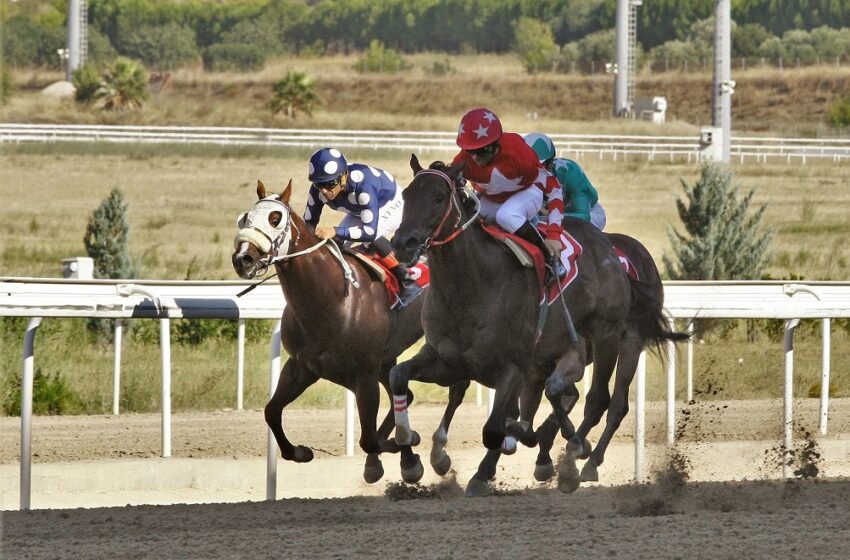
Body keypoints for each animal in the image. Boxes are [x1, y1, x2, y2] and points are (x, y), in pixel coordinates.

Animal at [230, 182, 424, 484]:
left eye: (275, 218)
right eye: (245, 218)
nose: (243, 259)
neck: (331, 301)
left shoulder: (364, 376)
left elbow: (369, 440)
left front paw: (403, 445)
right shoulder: (302, 367)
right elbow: (271, 411)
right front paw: (300, 452)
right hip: (386, 358)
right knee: (404, 395)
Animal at [388, 158, 632, 494]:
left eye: (438, 197)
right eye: (407, 195)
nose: (403, 243)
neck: (468, 288)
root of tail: (605, 245)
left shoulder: (512, 369)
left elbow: (493, 428)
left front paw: (482, 470)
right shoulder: (448, 361)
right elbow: (398, 376)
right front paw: (412, 460)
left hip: (607, 337)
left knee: (597, 400)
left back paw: (574, 454)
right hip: (550, 357)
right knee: (557, 394)